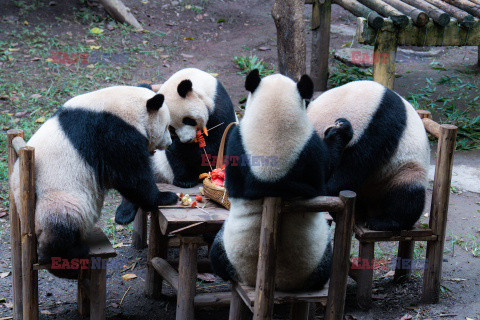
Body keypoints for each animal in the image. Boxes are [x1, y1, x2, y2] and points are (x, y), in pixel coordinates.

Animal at [9, 85, 178, 276]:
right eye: (167, 126)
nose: (169, 143)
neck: (123, 107)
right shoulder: (111, 133)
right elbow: (131, 176)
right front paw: (165, 197)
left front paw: (124, 213)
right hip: (57, 197)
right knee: (64, 218)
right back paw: (69, 255)